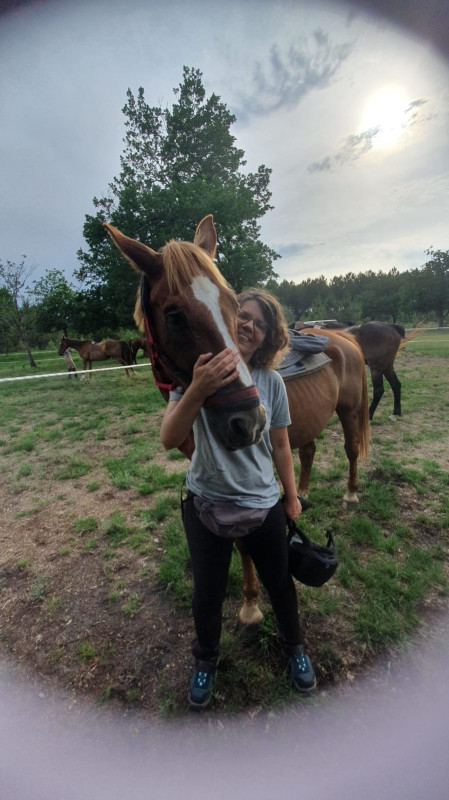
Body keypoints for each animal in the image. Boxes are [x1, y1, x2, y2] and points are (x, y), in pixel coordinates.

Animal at [104, 217, 368, 624]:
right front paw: (250, 600)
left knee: (351, 449)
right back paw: (302, 495)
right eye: (174, 316)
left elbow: (246, 538)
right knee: (308, 451)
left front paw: (250, 604)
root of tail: (344, 338)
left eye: (233, 306)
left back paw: (351, 494)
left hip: (350, 411)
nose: (249, 421)